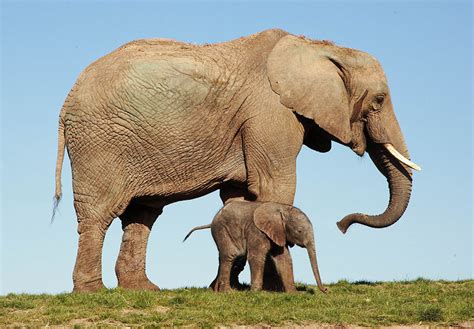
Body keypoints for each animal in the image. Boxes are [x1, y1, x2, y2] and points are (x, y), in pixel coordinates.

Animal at [182, 200, 326, 292]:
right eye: (299, 231)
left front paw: (294, 293)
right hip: (222, 230)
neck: (281, 208)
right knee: (230, 256)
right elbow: (256, 257)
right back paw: (228, 292)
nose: (325, 289)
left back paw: (216, 291)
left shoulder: (277, 232)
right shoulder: (256, 231)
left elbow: (284, 259)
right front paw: (255, 292)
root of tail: (212, 221)